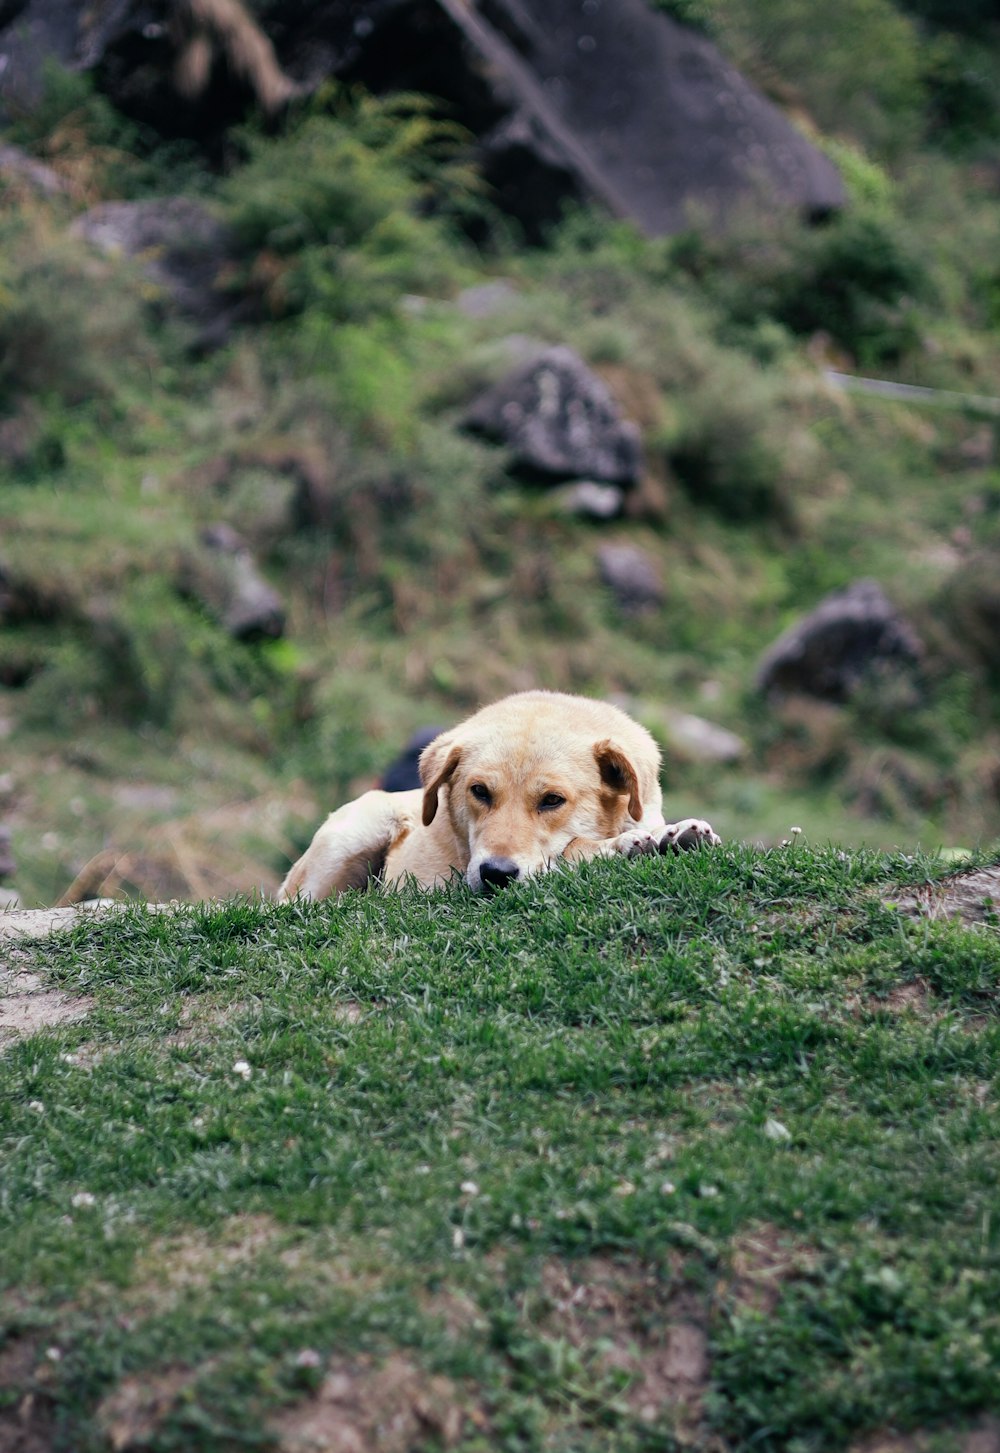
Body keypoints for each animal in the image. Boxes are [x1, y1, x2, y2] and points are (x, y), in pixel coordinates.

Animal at [277, 688, 723, 900]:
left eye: (552, 800)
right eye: (479, 791)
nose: (496, 875)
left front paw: (674, 836)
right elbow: (571, 849)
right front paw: (623, 846)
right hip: (352, 835)